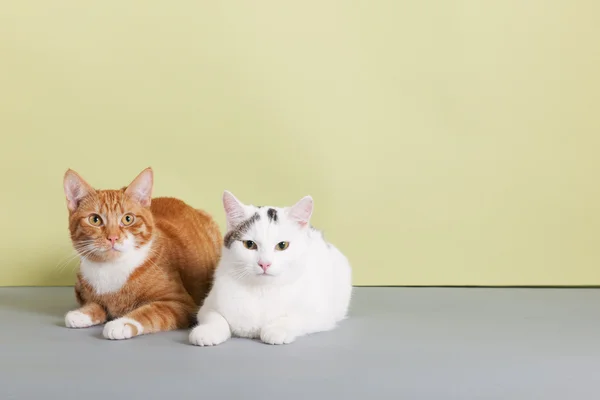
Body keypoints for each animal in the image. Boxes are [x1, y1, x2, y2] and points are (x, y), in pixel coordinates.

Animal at [62, 167, 223, 340]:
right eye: (95, 220)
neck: (111, 269)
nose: (113, 237)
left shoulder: (180, 303)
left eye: (127, 219)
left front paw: (121, 324)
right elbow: (96, 304)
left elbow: (148, 312)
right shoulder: (83, 293)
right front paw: (81, 314)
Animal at [189, 192, 352, 346]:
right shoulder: (207, 305)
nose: (264, 263)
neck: (262, 290)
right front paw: (208, 331)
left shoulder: (321, 315)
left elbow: (296, 317)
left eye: (282, 245)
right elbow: (214, 316)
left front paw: (277, 329)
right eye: (249, 244)